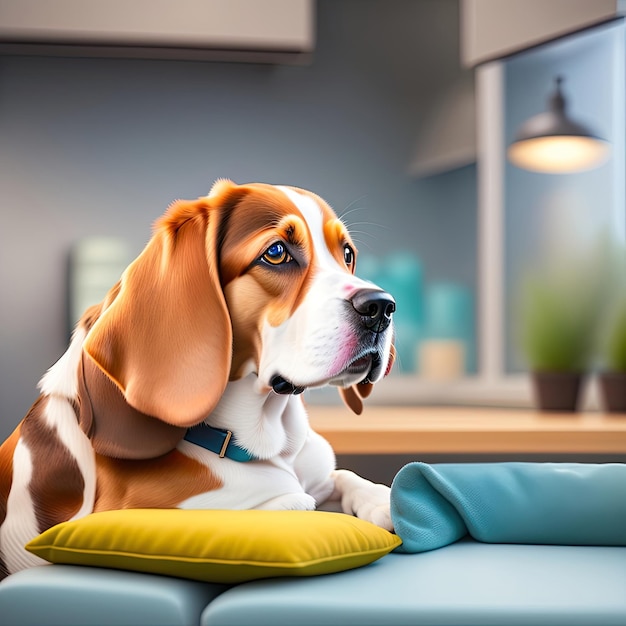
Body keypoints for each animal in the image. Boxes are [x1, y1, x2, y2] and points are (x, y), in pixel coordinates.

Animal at [0, 179, 394, 576]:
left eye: (347, 254)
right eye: (276, 252)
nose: (381, 306)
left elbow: (342, 477)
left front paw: (382, 500)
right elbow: (268, 504)